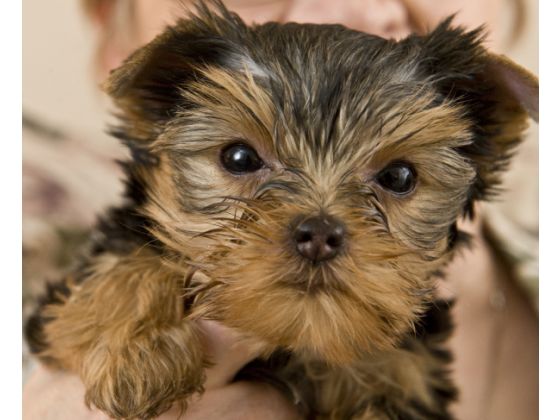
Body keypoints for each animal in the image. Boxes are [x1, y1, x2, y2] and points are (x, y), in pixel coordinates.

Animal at [25, 1, 540, 418]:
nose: (319, 234)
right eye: (238, 157)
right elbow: (129, 259)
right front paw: (141, 351)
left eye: (399, 177)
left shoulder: (405, 372)